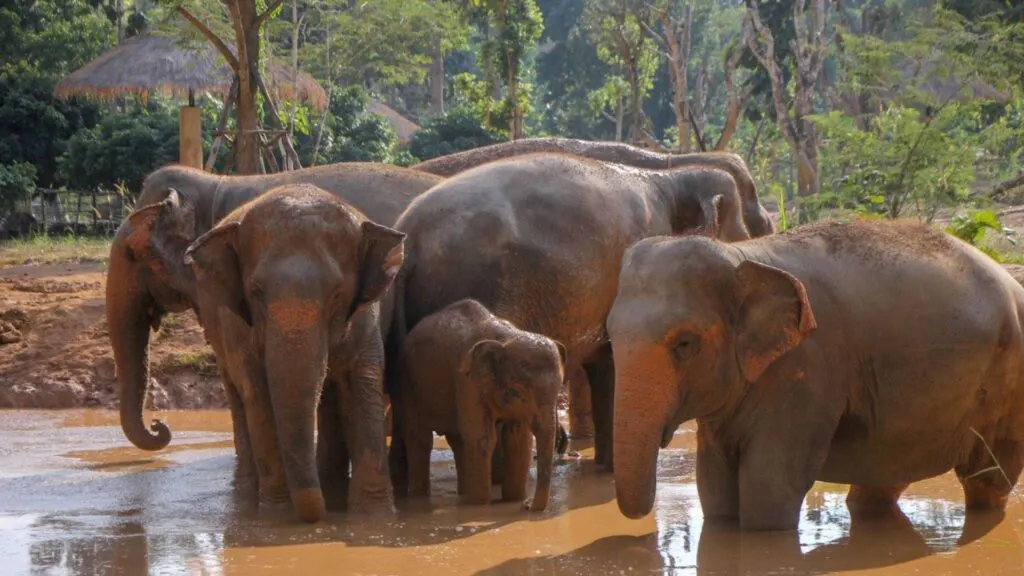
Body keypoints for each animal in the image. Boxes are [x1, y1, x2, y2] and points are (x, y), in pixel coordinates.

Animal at [182, 184, 404, 522]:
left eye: (337, 294)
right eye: (256, 292)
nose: (316, 516)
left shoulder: (366, 316)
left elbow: (363, 385)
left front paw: (374, 519)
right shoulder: (237, 326)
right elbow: (258, 396)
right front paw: (276, 519)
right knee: (238, 399)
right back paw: (247, 499)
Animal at [388, 153, 755, 473]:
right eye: (744, 237)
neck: (671, 177)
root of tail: (411, 238)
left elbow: (602, 364)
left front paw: (603, 468)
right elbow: (614, 363)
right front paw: (608, 474)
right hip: (482, 283)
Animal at [393, 299, 566, 511]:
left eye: (559, 390)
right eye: (518, 392)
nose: (528, 507)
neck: (507, 339)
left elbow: (518, 439)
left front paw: (512, 500)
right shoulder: (467, 381)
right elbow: (482, 437)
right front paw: (481, 506)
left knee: (458, 440)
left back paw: (463, 494)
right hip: (408, 382)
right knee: (420, 438)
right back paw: (421, 498)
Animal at [607, 219, 1024, 531]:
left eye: (685, 343)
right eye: (610, 335)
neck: (744, 254)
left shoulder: (808, 369)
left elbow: (768, 487)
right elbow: (714, 485)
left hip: (1010, 387)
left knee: (986, 482)